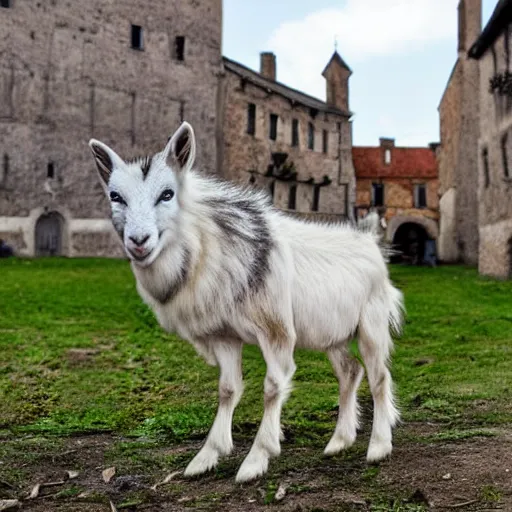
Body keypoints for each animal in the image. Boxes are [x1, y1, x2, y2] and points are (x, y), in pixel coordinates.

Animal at [90, 122, 406, 482]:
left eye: (167, 194)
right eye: (116, 196)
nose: (139, 241)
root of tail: (370, 241)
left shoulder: (276, 330)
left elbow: (273, 386)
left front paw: (256, 460)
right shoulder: (223, 335)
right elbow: (227, 389)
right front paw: (206, 456)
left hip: (371, 324)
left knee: (379, 377)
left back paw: (378, 447)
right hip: (330, 334)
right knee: (350, 372)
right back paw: (338, 441)